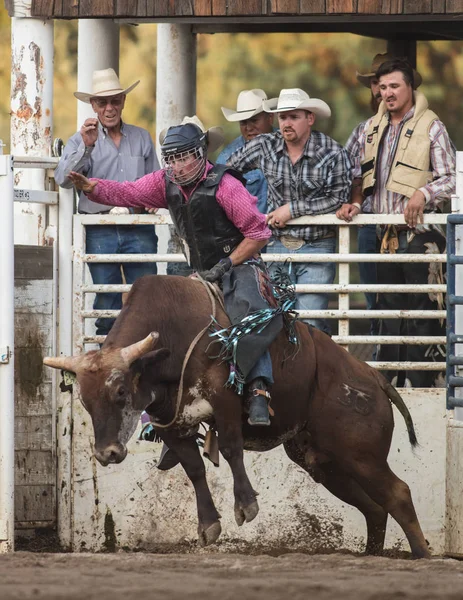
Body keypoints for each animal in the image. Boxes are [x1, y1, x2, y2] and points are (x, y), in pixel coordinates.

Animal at [43, 276, 432, 556]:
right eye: (84, 400)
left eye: (121, 390)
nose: (106, 453)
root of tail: (375, 378)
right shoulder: (169, 420)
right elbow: (194, 468)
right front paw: (208, 525)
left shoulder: (224, 400)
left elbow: (231, 449)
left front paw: (246, 505)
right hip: (326, 462)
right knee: (375, 508)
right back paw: (374, 555)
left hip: (361, 454)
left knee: (398, 493)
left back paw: (422, 555)